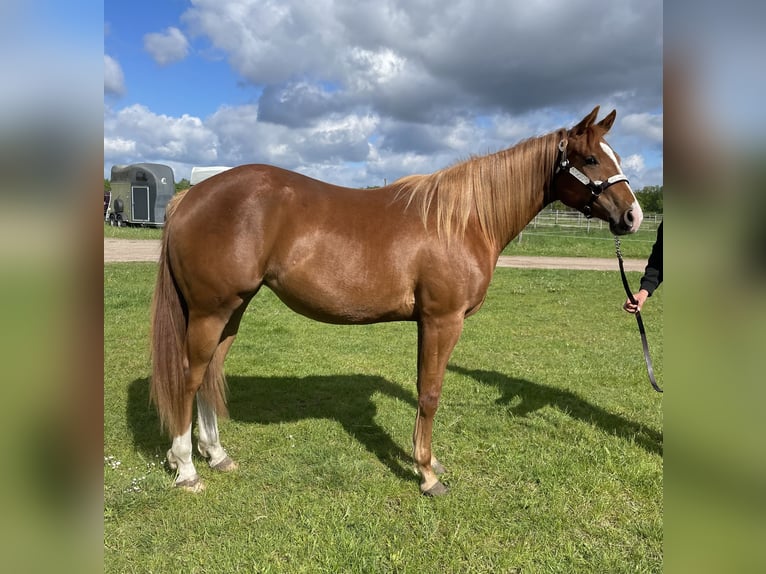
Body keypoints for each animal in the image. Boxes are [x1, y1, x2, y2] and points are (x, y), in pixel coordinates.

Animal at [150, 106, 643, 495]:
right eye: (591, 158)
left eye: (615, 156)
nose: (633, 216)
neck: (461, 221)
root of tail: (189, 196)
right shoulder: (443, 320)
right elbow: (430, 393)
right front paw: (427, 474)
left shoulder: (428, 322)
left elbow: (425, 390)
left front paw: (428, 460)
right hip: (211, 311)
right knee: (189, 378)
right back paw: (187, 468)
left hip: (231, 311)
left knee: (210, 374)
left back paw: (216, 455)